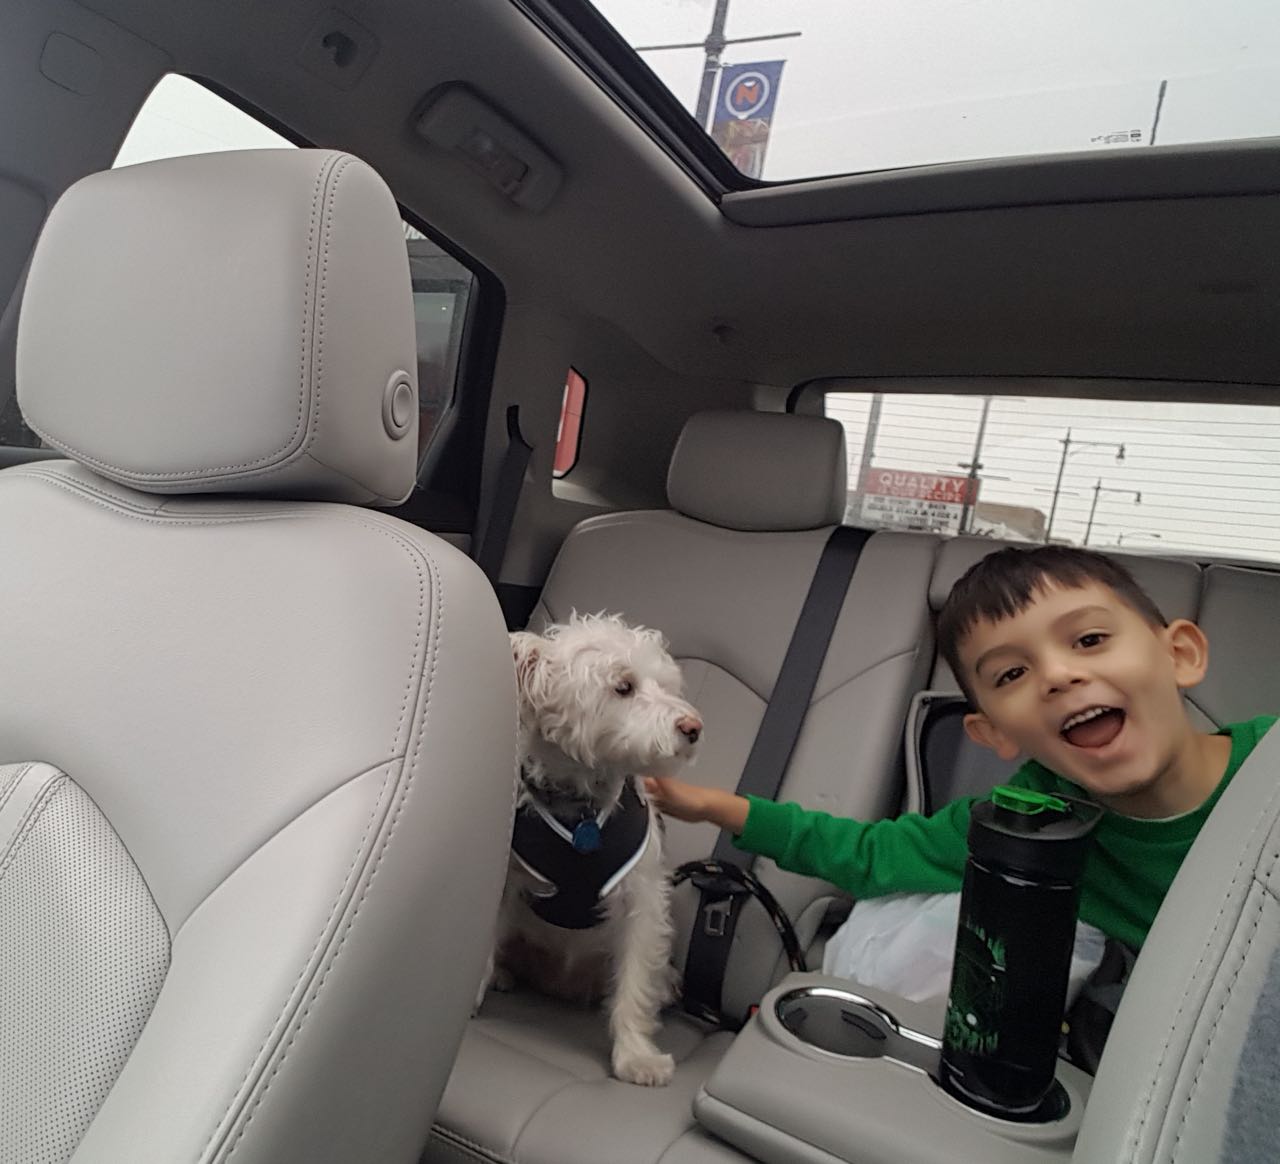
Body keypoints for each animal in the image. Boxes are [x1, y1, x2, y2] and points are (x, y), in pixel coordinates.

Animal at [484, 612, 702, 1086]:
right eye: (623, 687)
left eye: (666, 685)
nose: (694, 728)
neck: (579, 807)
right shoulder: (506, 882)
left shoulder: (642, 901)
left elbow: (635, 983)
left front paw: (637, 1057)